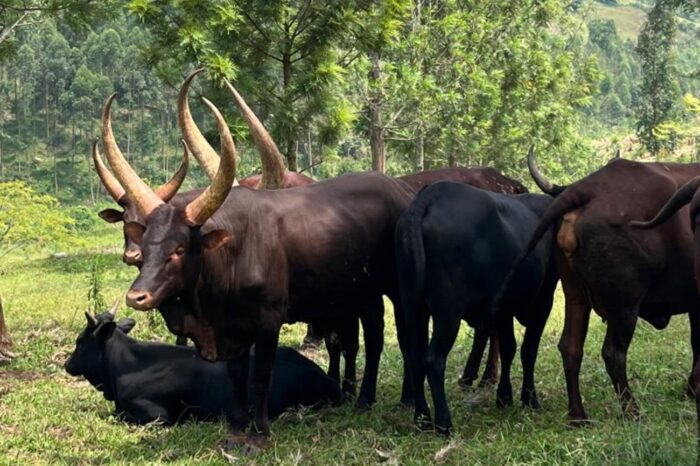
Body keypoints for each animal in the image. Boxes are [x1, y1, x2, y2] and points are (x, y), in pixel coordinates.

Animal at [394, 181, 557, 434]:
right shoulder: (543, 300)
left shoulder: (503, 309)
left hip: (413, 308)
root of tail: (429, 197)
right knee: (433, 360)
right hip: (448, 314)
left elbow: (508, 347)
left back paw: (422, 418)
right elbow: (528, 350)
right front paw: (530, 399)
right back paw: (444, 423)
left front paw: (504, 397)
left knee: (414, 357)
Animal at [515, 147, 700, 425]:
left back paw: (578, 416)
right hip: (625, 305)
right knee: (613, 353)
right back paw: (632, 411)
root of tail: (586, 189)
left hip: (575, 296)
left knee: (570, 348)